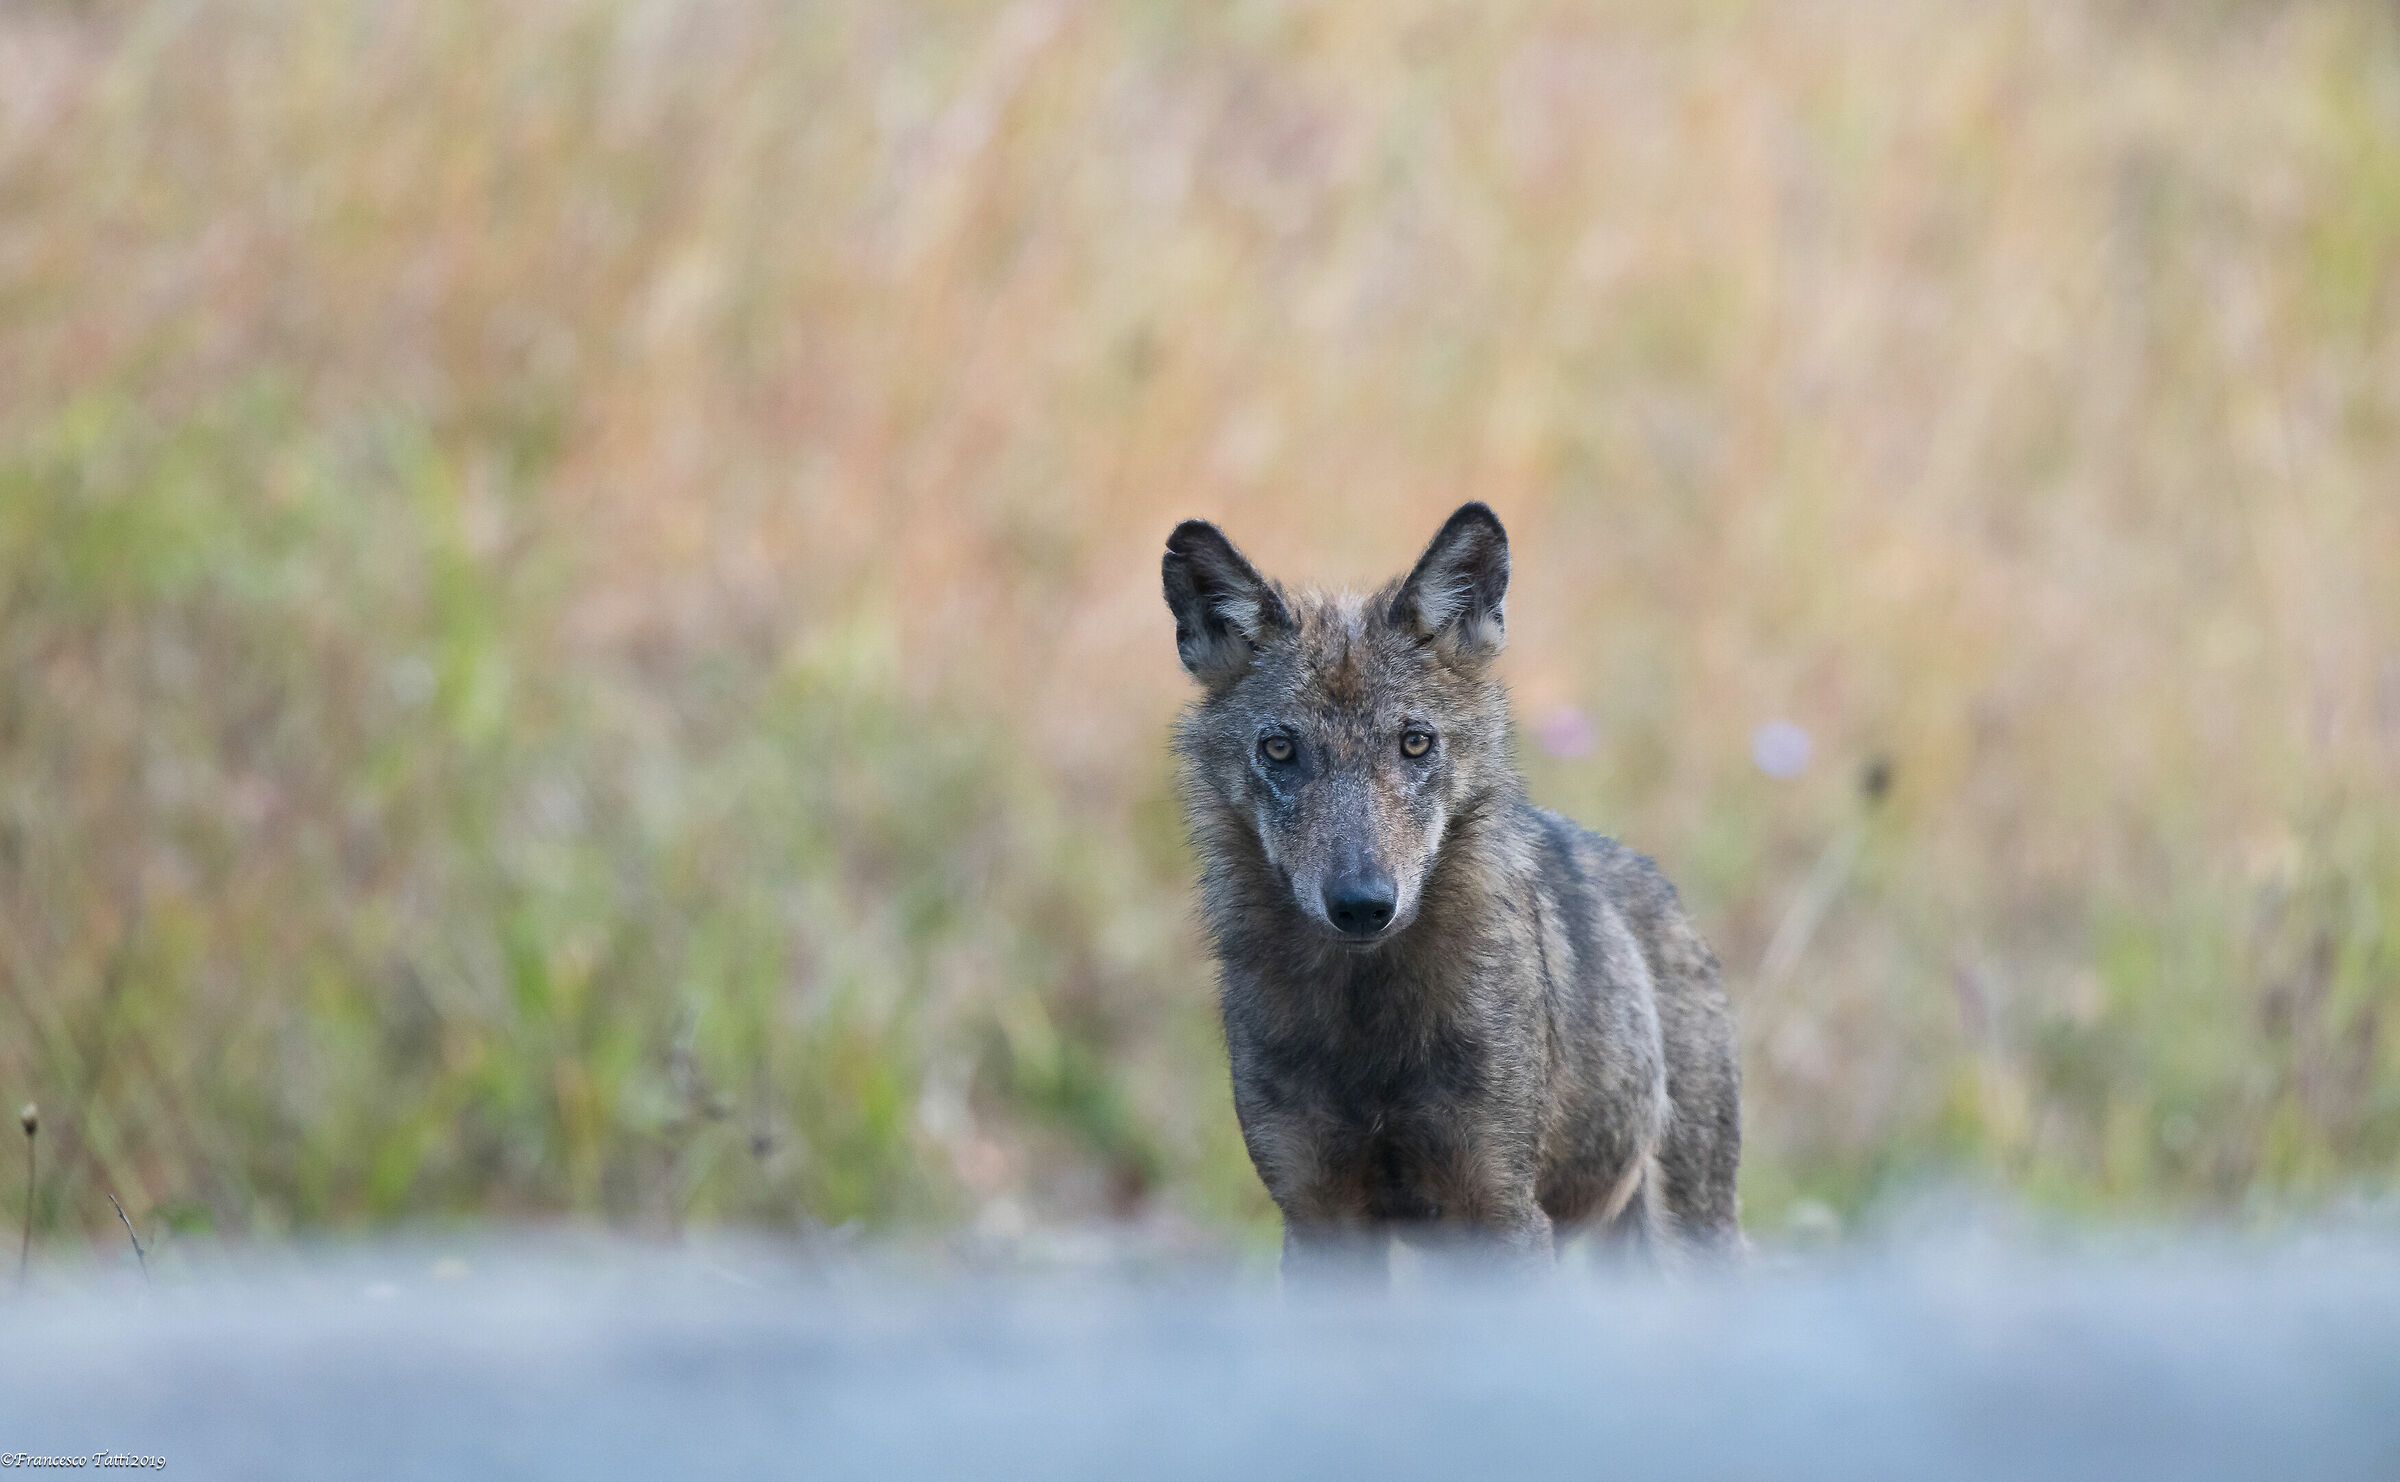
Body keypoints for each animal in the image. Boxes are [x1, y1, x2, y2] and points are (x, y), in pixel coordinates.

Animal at [1162, 503, 1741, 1278]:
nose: (1362, 904)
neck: (1367, 1021)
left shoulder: (1502, 1210)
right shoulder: (1321, 1219)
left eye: (1415, 743)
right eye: (1280, 750)